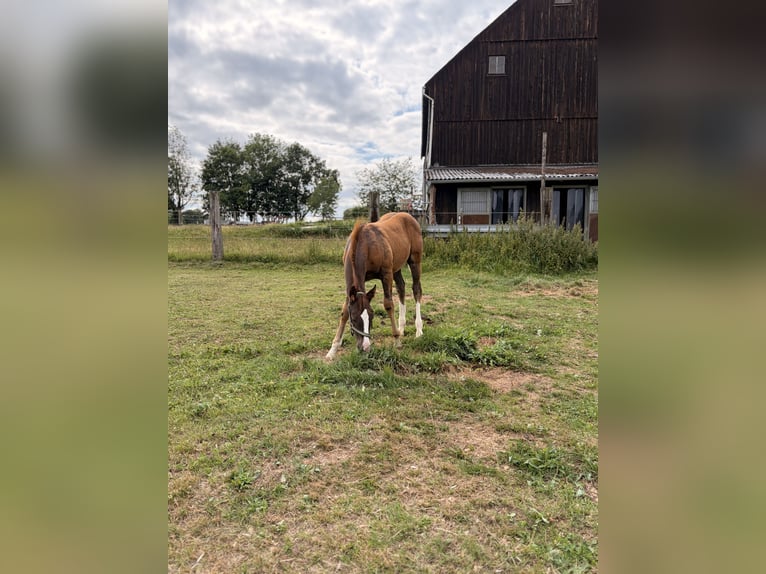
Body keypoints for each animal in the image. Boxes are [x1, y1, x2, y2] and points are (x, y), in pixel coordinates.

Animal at [326, 212, 423, 359]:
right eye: (354, 318)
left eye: (372, 316)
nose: (365, 347)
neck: (365, 245)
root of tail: (409, 216)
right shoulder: (352, 288)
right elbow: (344, 311)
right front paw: (333, 350)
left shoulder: (386, 273)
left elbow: (388, 304)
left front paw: (397, 340)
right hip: (396, 267)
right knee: (401, 287)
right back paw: (401, 328)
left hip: (414, 261)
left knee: (416, 289)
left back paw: (418, 331)